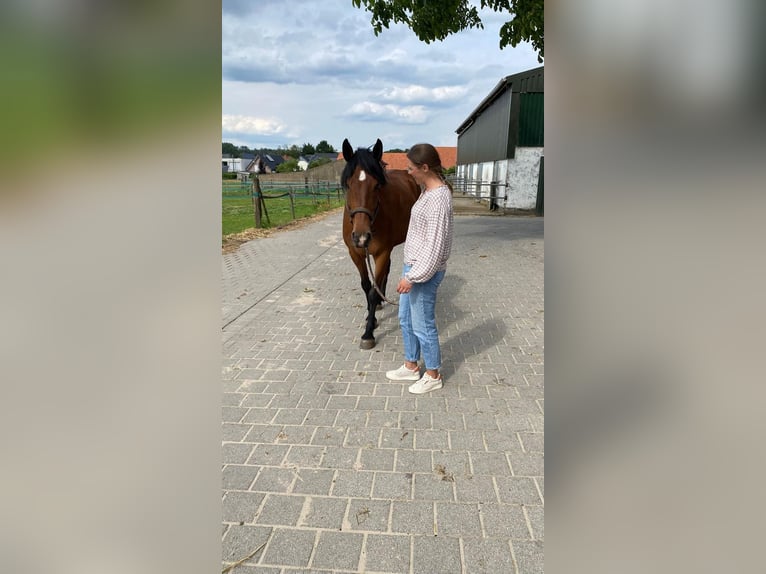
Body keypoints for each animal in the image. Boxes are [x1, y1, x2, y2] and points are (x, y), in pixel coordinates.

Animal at [341, 138, 420, 349]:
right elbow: (366, 285)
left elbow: (373, 292)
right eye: (348, 185)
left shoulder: (382, 252)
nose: (361, 237)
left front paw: (368, 333)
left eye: (376, 186)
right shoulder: (355, 254)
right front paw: (372, 317)